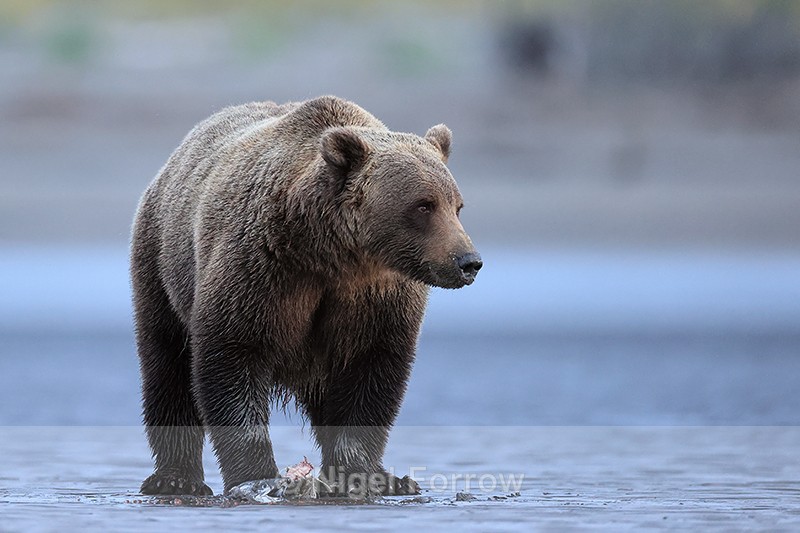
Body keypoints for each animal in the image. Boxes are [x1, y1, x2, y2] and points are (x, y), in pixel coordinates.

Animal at [130, 95, 482, 498]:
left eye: (457, 205)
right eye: (424, 205)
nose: (468, 261)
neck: (334, 256)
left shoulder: (376, 299)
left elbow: (370, 375)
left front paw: (355, 475)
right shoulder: (260, 270)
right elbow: (232, 358)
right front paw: (258, 477)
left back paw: (394, 480)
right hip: (162, 263)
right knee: (166, 364)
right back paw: (175, 477)